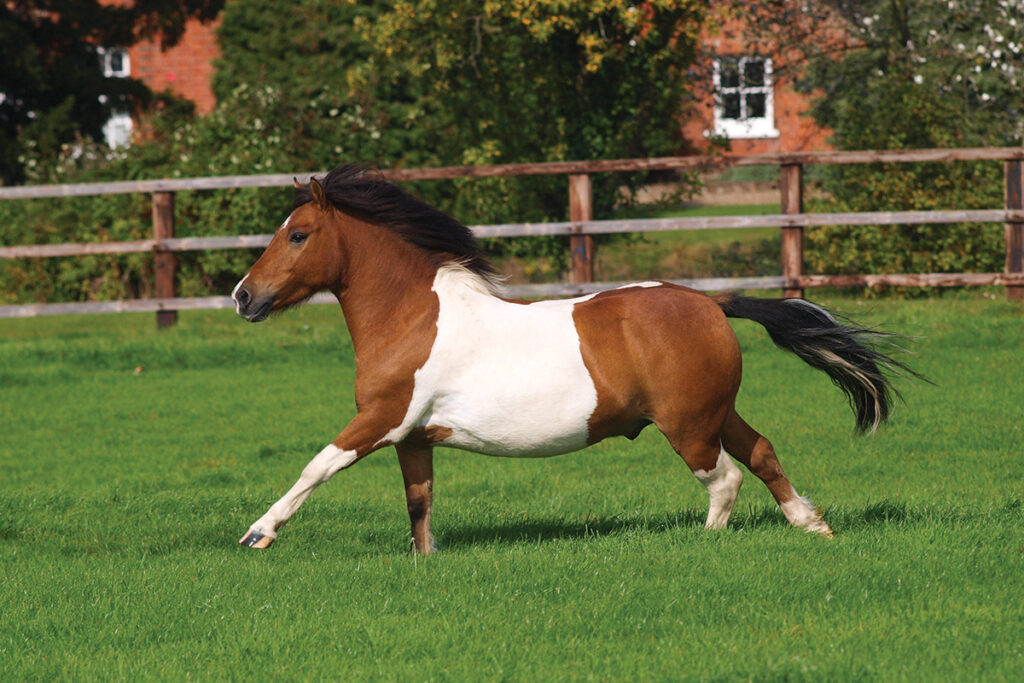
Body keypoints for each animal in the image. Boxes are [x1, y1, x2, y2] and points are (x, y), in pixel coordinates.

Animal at [232, 164, 915, 553]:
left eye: (298, 234)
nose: (243, 296)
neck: (413, 318)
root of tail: (710, 303)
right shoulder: (414, 438)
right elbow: (419, 506)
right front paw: (425, 563)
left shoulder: (381, 419)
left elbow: (317, 466)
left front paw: (258, 533)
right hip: (715, 411)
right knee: (764, 454)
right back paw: (813, 526)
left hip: (688, 424)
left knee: (724, 478)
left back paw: (707, 544)